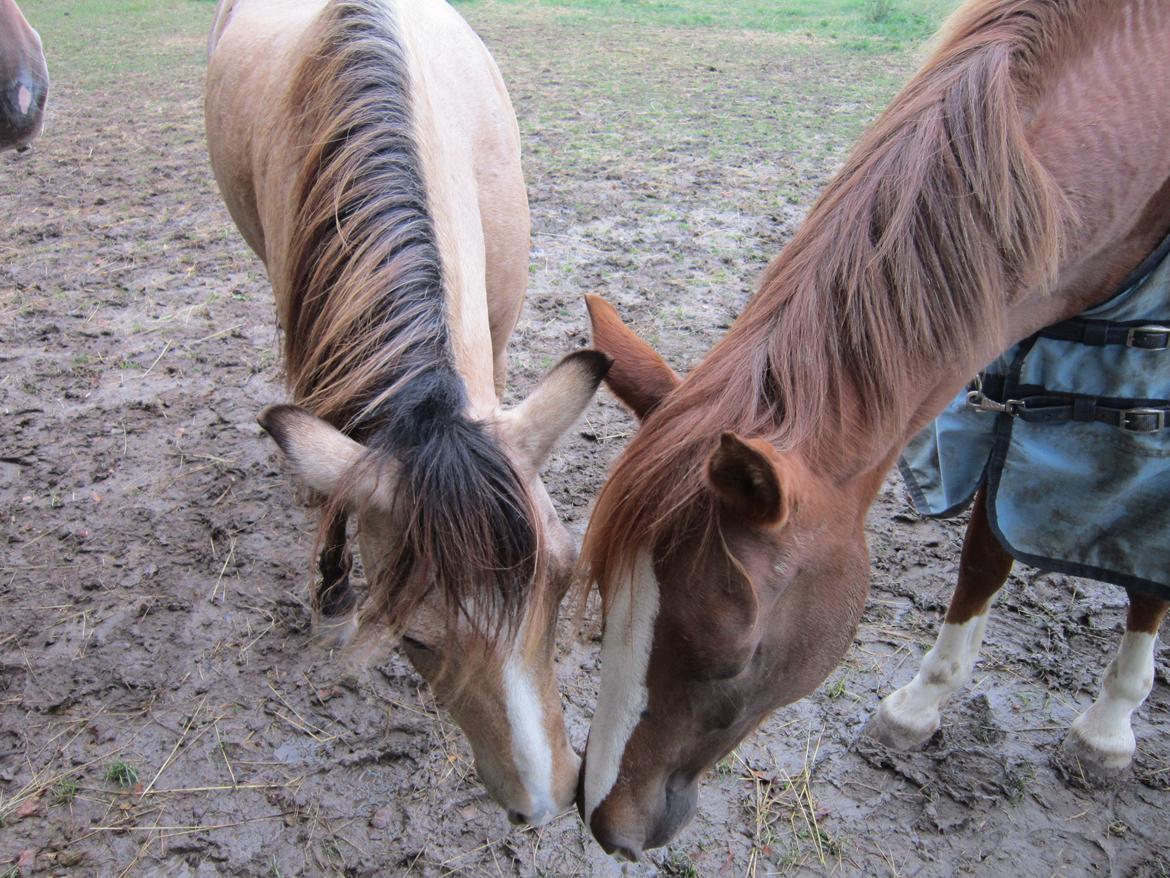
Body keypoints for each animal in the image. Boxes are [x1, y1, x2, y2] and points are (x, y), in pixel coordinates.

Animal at [577, 0, 1170, 861]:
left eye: (731, 656)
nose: (605, 821)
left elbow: (1143, 561)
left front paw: (1108, 729)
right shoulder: (1008, 373)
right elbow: (986, 546)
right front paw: (921, 705)